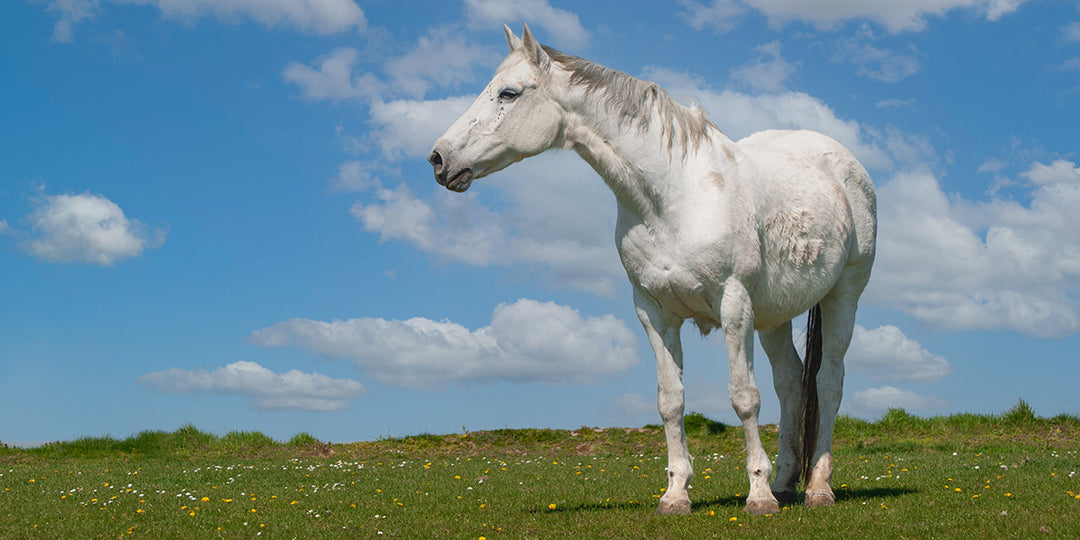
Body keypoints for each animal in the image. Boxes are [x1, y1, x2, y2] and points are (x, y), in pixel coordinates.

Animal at [425, 25, 872, 514]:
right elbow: (670, 401)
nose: (439, 159)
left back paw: (817, 487)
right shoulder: (654, 312)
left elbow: (743, 397)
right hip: (774, 316)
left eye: (508, 93)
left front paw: (757, 496)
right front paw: (676, 494)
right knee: (791, 383)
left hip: (843, 297)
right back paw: (787, 482)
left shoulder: (735, 304)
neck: (673, 196)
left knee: (828, 382)